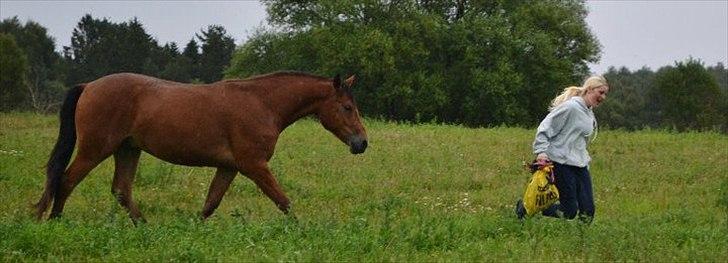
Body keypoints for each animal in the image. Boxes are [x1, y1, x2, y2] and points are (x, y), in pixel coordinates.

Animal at [33, 71, 366, 224]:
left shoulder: (230, 167)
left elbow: (210, 204)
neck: (262, 103)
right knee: (66, 180)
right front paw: (300, 228)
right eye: (347, 107)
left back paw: (146, 226)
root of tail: (89, 86)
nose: (362, 143)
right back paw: (54, 220)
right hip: (95, 148)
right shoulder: (254, 166)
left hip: (127, 149)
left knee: (121, 190)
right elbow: (283, 201)